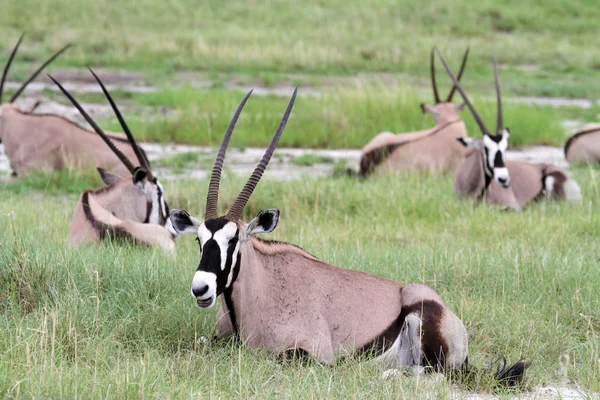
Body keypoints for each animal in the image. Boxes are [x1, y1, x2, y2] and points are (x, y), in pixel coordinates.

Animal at [168, 89, 524, 386]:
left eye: (233, 240)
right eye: (199, 240)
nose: (201, 288)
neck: (257, 288)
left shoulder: (311, 352)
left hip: (426, 333)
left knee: (431, 374)